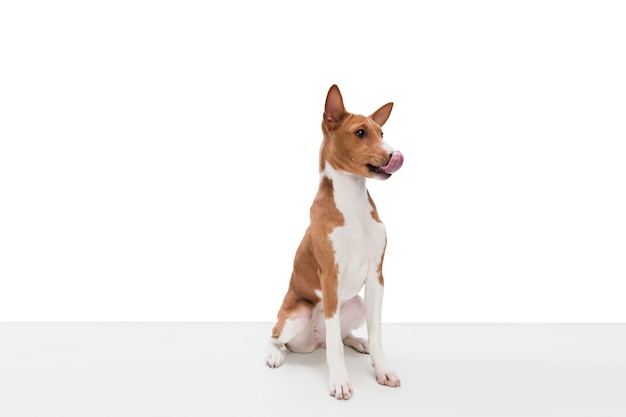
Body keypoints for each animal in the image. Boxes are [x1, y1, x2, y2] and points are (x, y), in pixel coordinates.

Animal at [264, 85, 402, 400]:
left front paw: (382, 369)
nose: (395, 155)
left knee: (339, 337)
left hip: (358, 304)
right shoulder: (329, 276)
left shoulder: (376, 277)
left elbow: (377, 334)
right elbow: (336, 349)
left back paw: (359, 342)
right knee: (277, 337)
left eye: (382, 132)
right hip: (297, 314)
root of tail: (316, 343)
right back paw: (274, 354)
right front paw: (339, 381)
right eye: (361, 133)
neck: (352, 204)